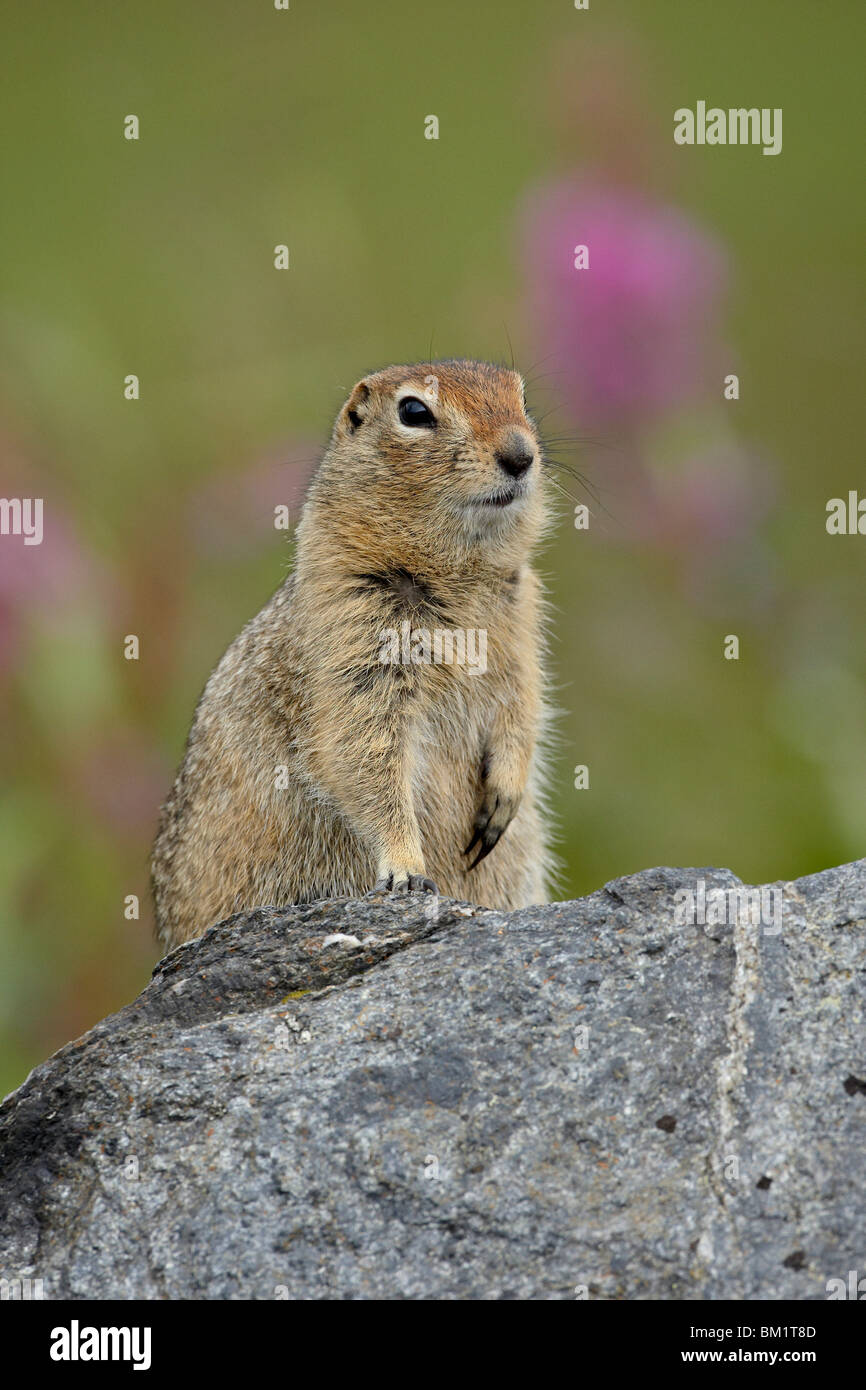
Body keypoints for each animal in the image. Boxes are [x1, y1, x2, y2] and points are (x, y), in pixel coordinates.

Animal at [151, 358, 553, 950]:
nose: (521, 454)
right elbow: (364, 756)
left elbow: (522, 711)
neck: (459, 573)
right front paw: (406, 870)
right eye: (414, 411)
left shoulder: (522, 626)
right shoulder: (351, 638)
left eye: (522, 398)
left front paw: (504, 798)